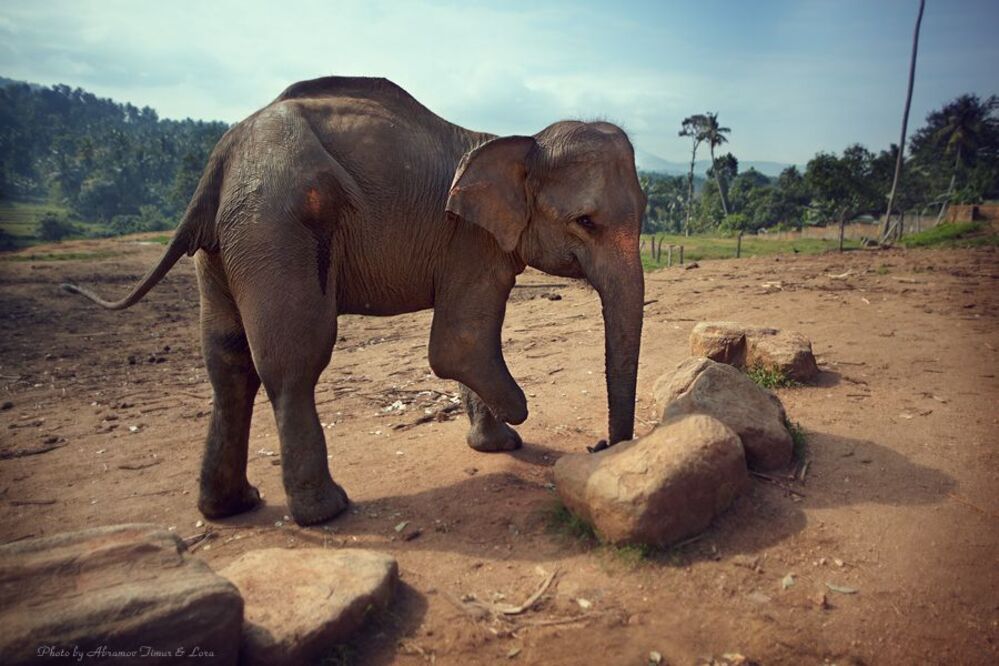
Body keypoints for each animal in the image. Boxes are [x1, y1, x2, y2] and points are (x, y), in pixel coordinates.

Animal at [63, 76, 646, 526]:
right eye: (585, 222)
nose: (599, 447)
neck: (518, 143)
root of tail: (223, 156)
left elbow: (465, 347)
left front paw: (496, 444)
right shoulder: (469, 242)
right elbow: (459, 347)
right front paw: (516, 416)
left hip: (224, 246)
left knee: (228, 364)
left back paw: (231, 507)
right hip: (277, 228)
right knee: (295, 362)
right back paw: (326, 511)